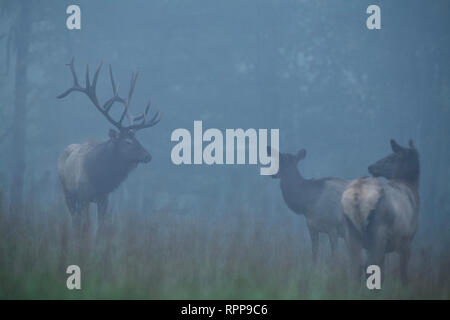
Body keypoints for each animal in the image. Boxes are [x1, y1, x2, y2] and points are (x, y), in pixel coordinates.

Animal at [342, 139, 420, 284]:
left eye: (391, 157)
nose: (371, 166)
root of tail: (358, 192)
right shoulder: (407, 240)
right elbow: (404, 275)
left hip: (350, 230)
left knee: (355, 265)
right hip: (379, 230)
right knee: (370, 264)